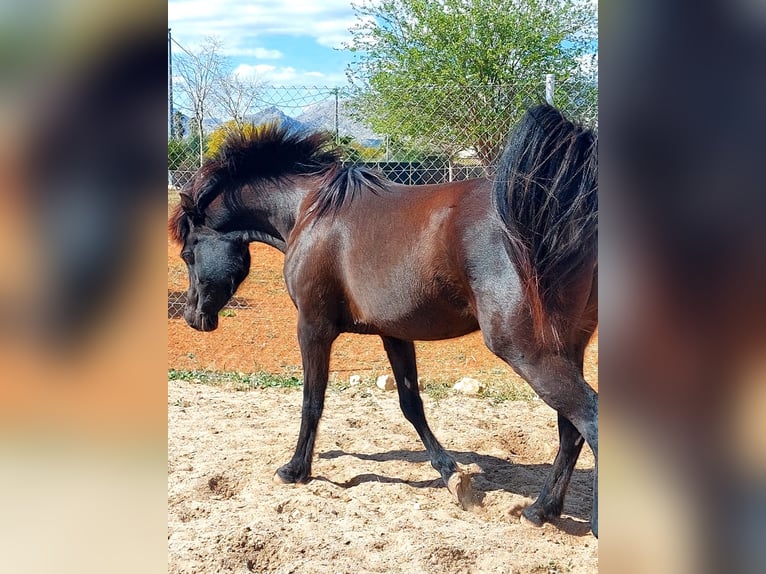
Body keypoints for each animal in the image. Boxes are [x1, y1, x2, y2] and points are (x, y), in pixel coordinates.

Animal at [170, 104, 600, 540]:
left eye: (187, 253)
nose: (192, 316)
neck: (311, 210)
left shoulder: (312, 327)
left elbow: (312, 400)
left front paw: (295, 470)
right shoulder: (395, 333)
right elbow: (411, 405)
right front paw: (451, 476)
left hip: (527, 350)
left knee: (590, 420)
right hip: (568, 346)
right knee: (571, 430)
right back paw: (541, 510)